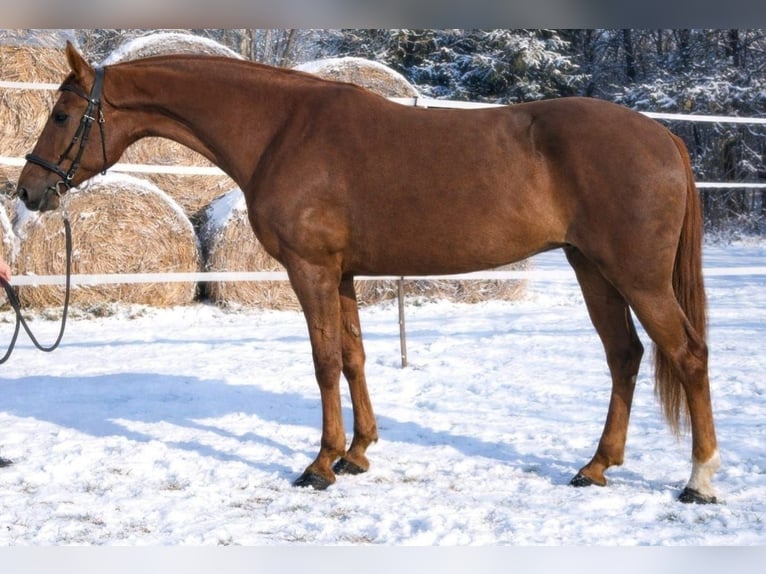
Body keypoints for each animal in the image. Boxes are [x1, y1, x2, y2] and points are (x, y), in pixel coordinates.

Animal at [16, 41, 720, 503]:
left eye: (60, 115)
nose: (28, 191)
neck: (281, 131)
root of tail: (664, 138)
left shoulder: (310, 270)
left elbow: (324, 360)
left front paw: (321, 463)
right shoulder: (344, 275)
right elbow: (353, 357)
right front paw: (358, 453)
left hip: (636, 276)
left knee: (686, 354)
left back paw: (699, 479)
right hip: (592, 268)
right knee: (625, 355)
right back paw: (596, 466)